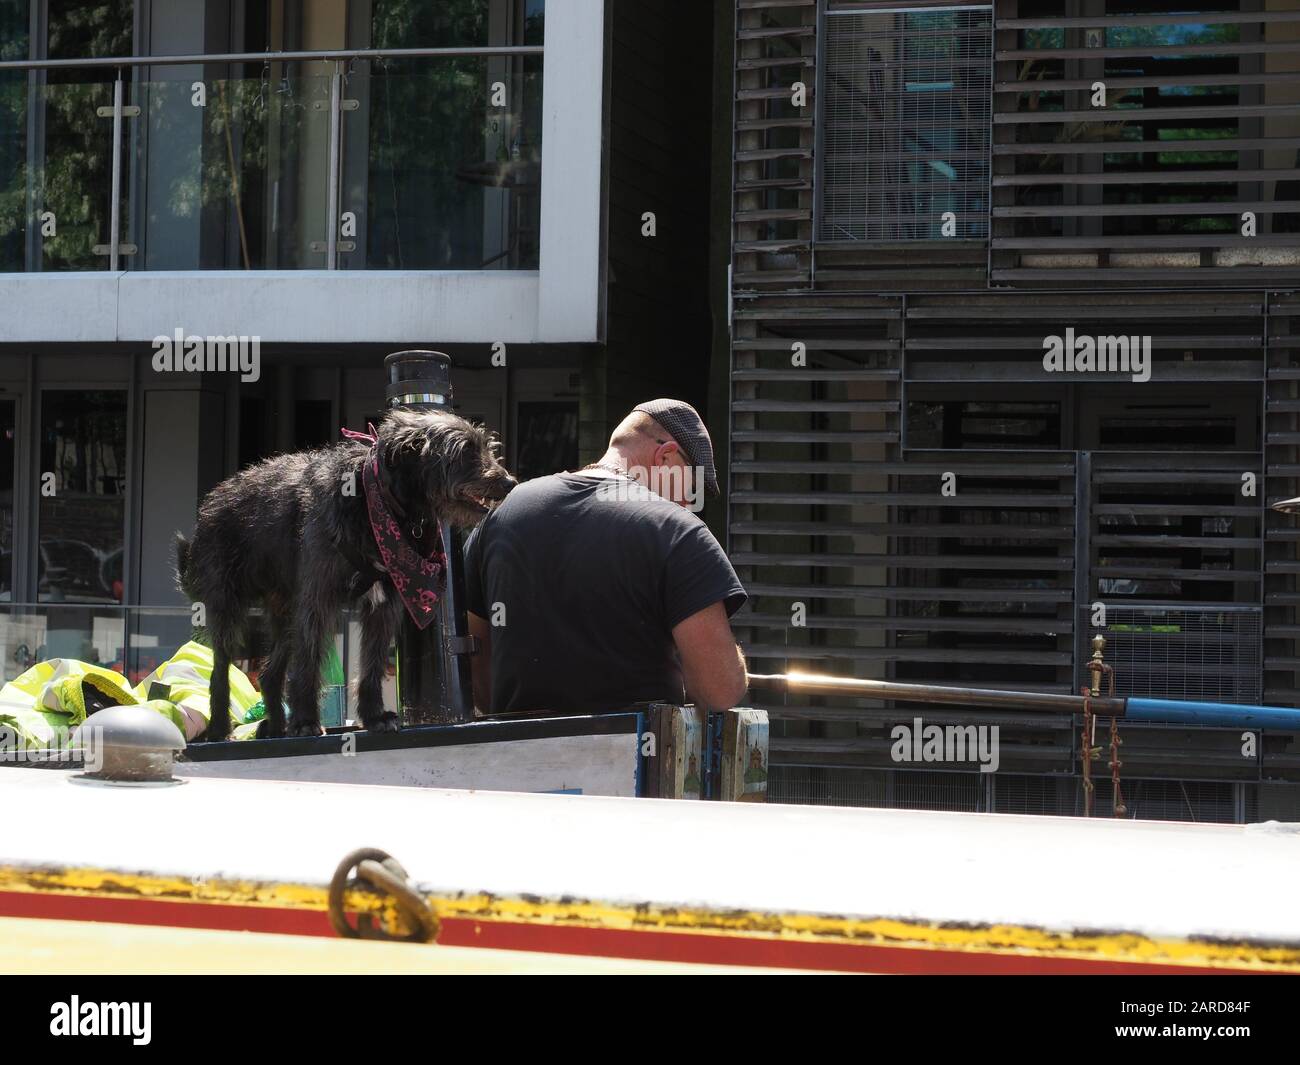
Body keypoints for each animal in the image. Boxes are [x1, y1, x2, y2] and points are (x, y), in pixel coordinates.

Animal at [174, 410, 517, 743]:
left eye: (486, 446)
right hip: (227, 607)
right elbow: (309, 661)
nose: (509, 482)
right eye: (465, 451)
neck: (376, 500)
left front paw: (375, 716)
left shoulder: (382, 604)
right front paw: (306, 721)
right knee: (220, 669)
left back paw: (275, 726)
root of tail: (212, 501)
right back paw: (221, 728)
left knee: (271, 673)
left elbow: (372, 664)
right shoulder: (317, 598)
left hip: (286, 612)